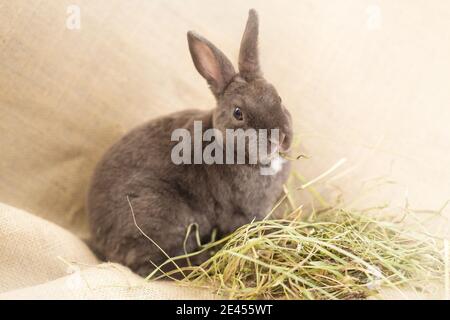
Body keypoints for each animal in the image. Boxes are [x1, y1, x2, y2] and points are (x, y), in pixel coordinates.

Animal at [86, 8, 294, 276]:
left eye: (278, 97)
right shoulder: (244, 211)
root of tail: (97, 235)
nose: (281, 138)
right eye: (238, 113)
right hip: (160, 213)